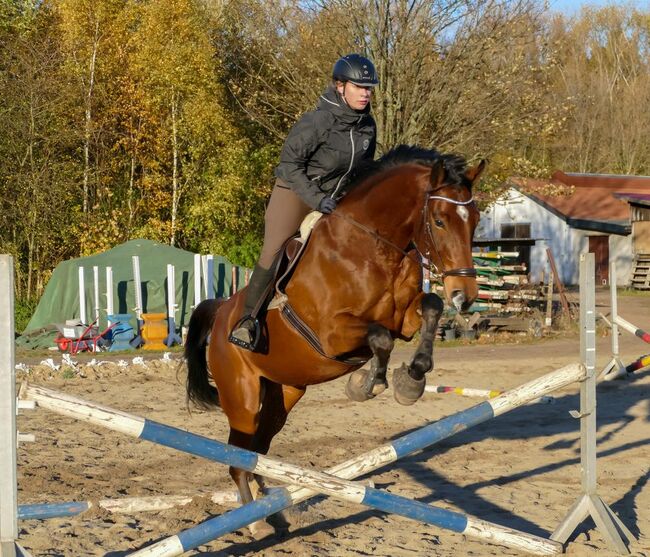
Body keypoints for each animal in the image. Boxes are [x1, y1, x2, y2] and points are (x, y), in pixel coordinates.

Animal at [182, 146, 480, 536]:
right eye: (441, 221)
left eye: (475, 221)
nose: (465, 296)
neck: (375, 247)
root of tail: (221, 313)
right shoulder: (332, 333)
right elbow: (380, 338)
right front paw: (367, 383)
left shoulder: (404, 320)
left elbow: (429, 307)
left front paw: (411, 380)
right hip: (242, 399)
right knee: (238, 460)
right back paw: (255, 523)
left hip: (282, 395)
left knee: (259, 453)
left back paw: (270, 512)